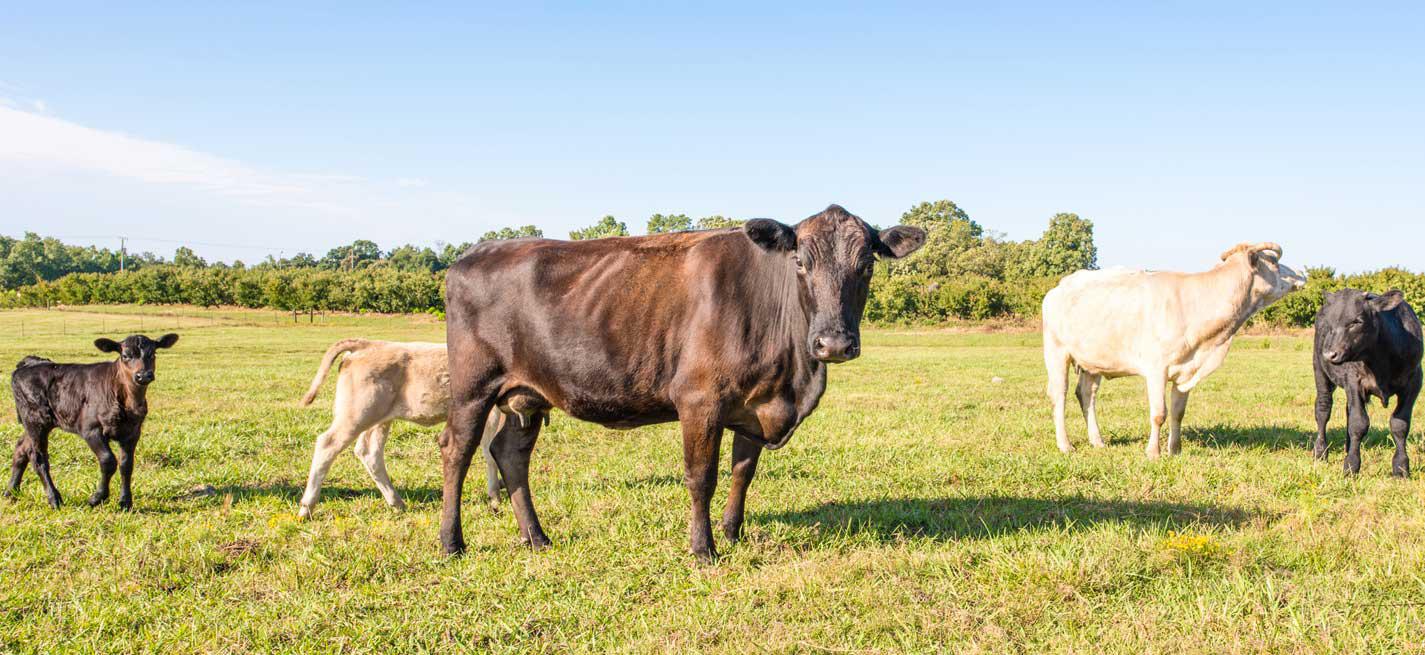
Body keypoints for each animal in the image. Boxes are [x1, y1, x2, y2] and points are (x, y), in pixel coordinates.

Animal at [7, 334, 178, 509]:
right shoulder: (90, 429)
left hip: (41, 423)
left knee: (21, 448)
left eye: (152, 354)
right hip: (35, 420)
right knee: (38, 457)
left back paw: (11, 492)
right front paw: (98, 497)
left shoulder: (132, 432)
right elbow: (108, 461)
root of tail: (30, 362)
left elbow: (126, 465)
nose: (143, 375)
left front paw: (125, 502)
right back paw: (54, 499)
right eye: (125, 356)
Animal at [294, 337, 507, 515]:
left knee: (369, 452)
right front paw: (495, 497)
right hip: (356, 415)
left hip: (379, 420)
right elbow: (490, 454)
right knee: (327, 444)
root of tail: (369, 344)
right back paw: (307, 508)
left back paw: (396, 502)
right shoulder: (492, 414)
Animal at [444, 207, 929, 561]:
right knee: (457, 452)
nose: (834, 343)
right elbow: (701, 477)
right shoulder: (699, 399)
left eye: (866, 265)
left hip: (527, 395)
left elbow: (743, 472)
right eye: (800, 262)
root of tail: (472, 253)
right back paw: (452, 543)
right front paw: (703, 548)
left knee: (510, 454)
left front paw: (732, 533)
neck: (792, 378)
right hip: (471, 388)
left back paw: (537, 538)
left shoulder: (755, 404)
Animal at [1043, 243, 1305, 458]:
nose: (1301, 274)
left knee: (1087, 395)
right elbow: (1159, 413)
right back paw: (1065, 445)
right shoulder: (1156, 368)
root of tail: (1059, 288)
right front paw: (1153, 452)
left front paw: (1175, 450)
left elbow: (1178, 412)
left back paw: (1097, 441)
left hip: (1092, 360)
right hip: (1057, 352)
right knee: (1059, 395)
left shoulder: (1186, 370)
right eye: (1274, 262)